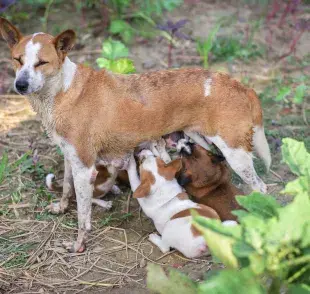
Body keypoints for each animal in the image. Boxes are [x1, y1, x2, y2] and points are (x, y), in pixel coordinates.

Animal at [0, 19, 270, 253]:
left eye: (41, 63)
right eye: (17, 60)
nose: (20, 85)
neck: (63, 90)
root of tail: (242, 86)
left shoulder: (85, 168)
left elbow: (83, 217)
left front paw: (79, 245)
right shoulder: (71, 159)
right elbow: (67, 188)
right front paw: (62, 207)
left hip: (236, 154)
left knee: (262, 187)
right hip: (202, 139)